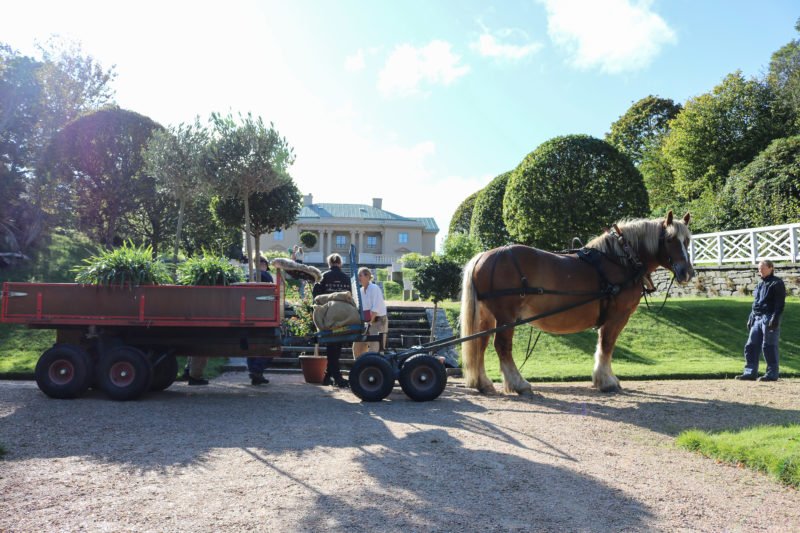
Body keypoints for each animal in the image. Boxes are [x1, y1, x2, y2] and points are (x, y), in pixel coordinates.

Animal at [462, 210, 692, 392]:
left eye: (687, 241)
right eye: (670, 239)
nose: (687, 272)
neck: (620, 260)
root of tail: (483, 256)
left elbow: (603, 345)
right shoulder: (617, 316)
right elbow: (607, 345)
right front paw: (606, 381)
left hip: (487, 317)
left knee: (480, 343)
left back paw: (483, 383)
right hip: (506, 317)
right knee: (501, 346)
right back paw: (518, 384)